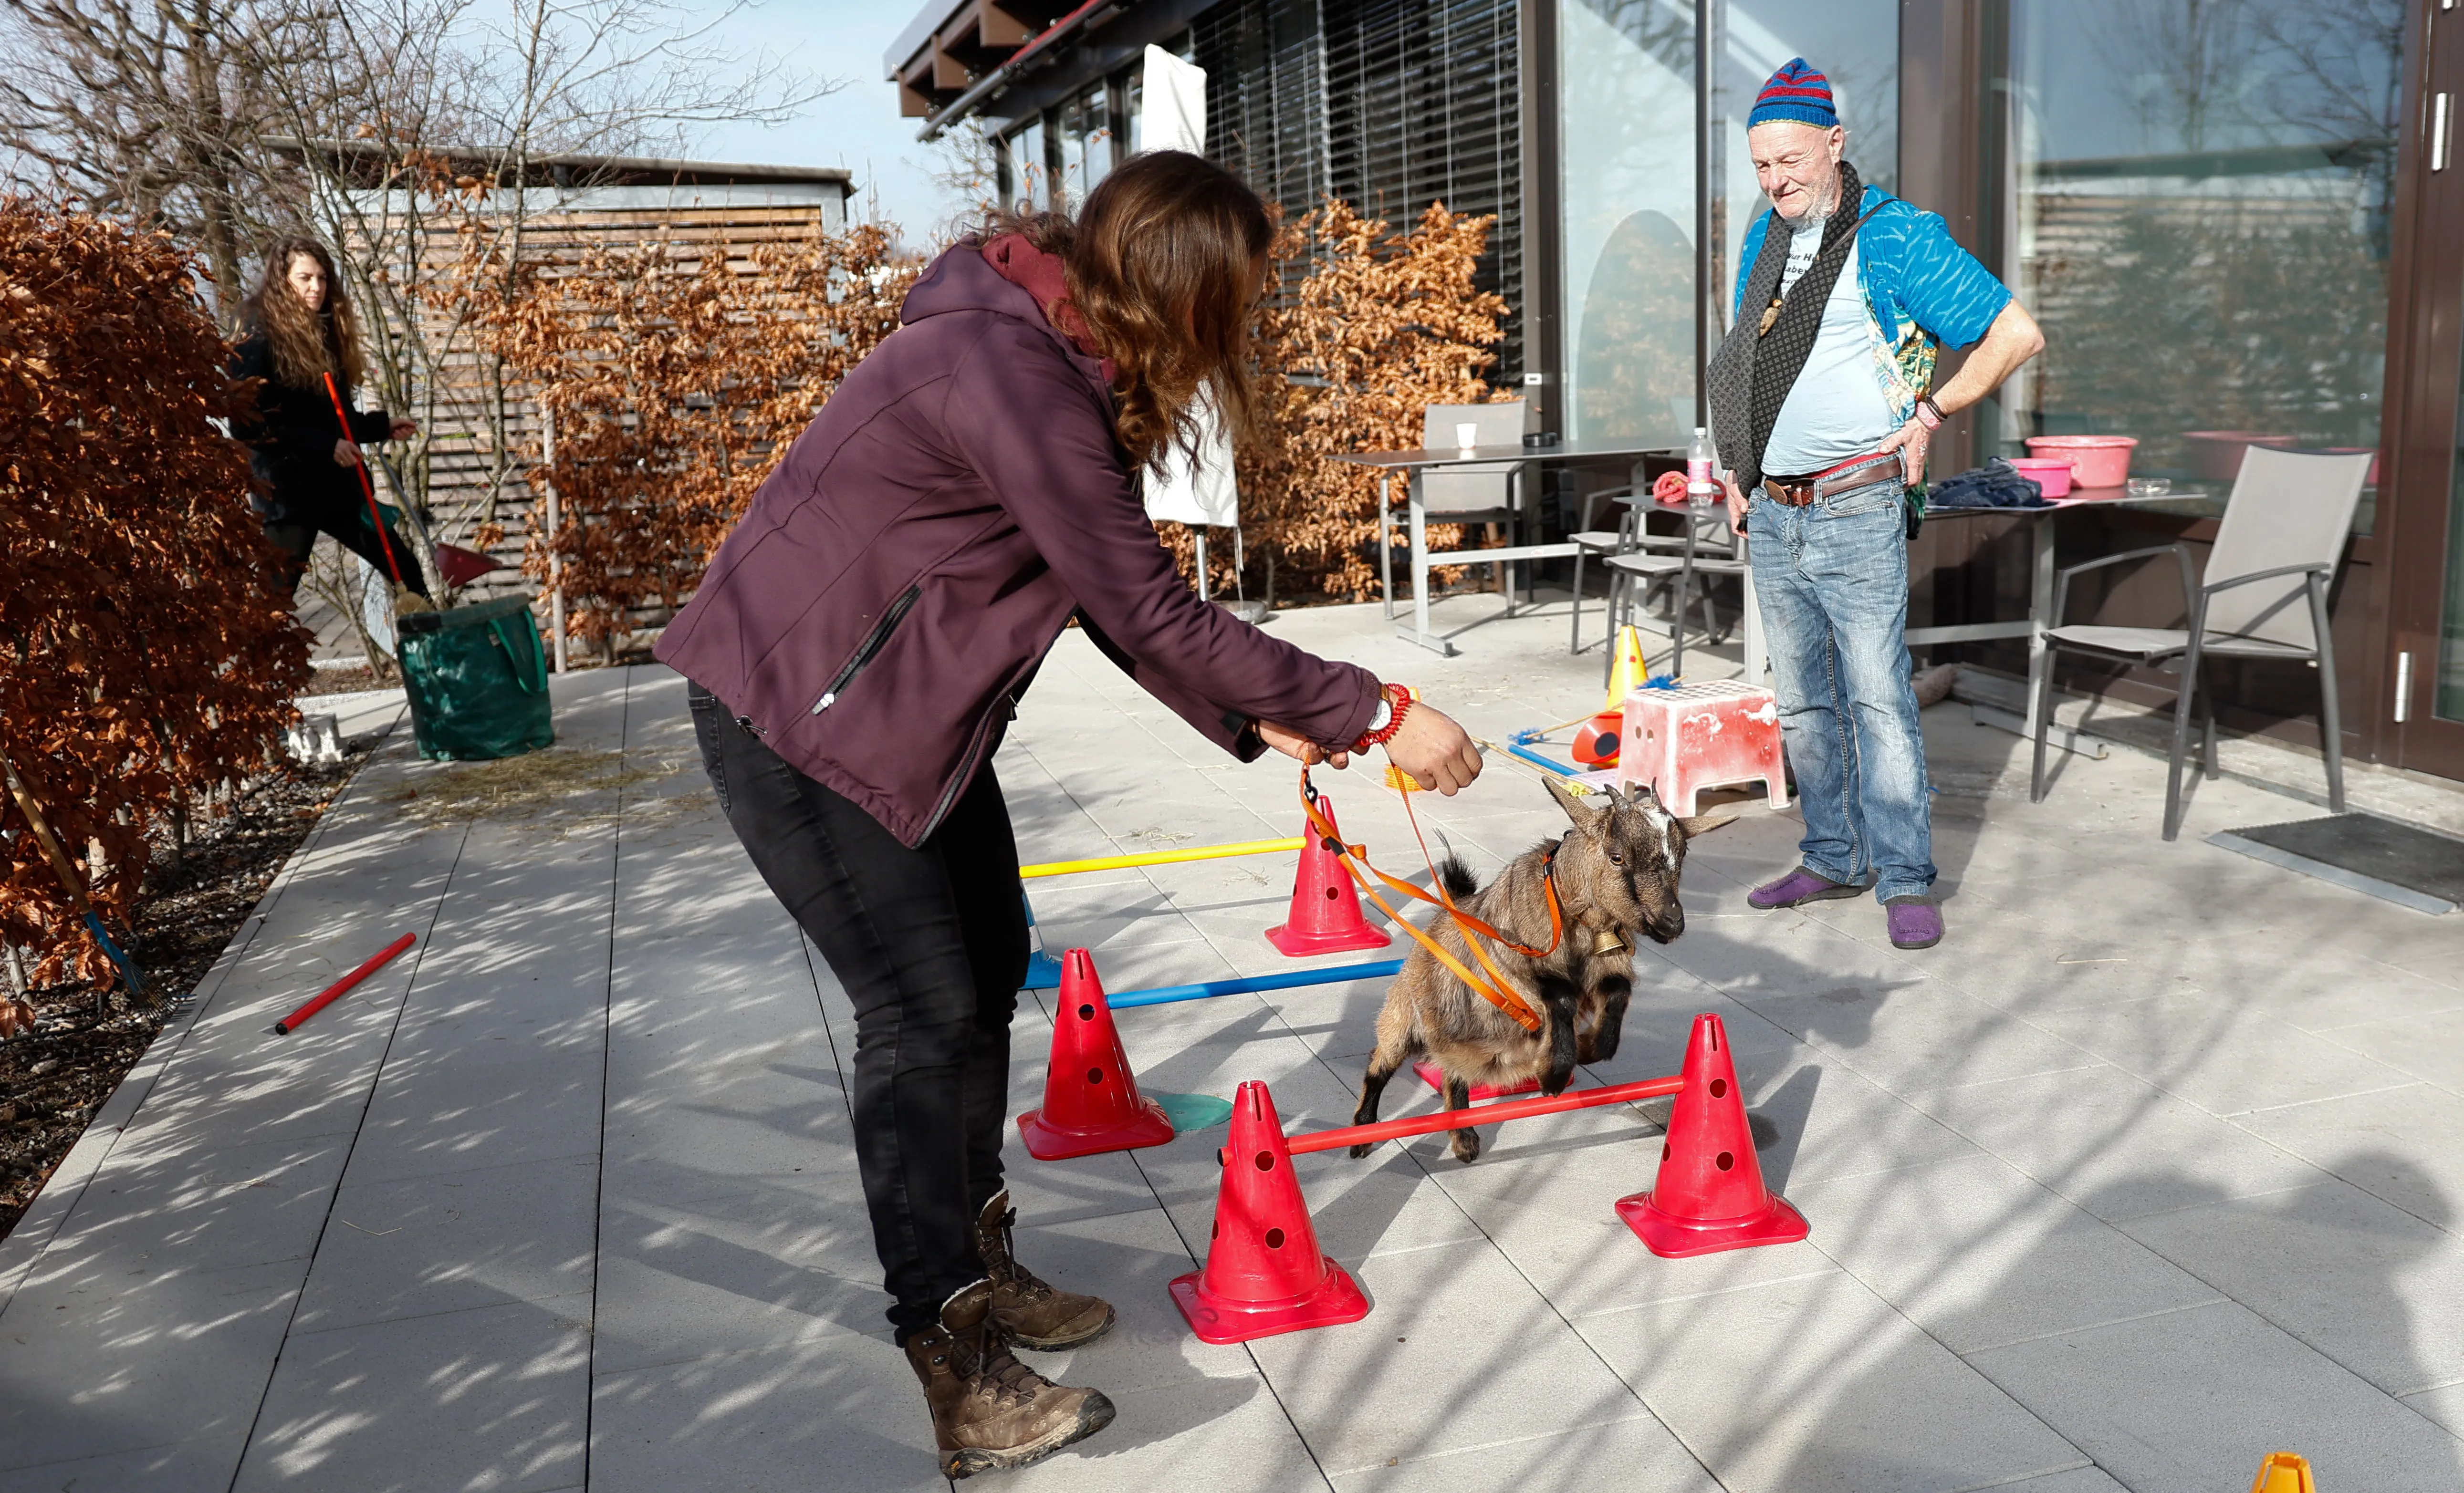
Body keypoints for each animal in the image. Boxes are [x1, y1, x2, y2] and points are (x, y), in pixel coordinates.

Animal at [1350, 778, 1734, 1177]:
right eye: (1617, 857)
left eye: (1683, 854)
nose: (1672, 923)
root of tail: (1446, 915)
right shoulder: (1516, 981)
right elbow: (1560, 997)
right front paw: (1553, 1075)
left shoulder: (1607, 969)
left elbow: (1617, 993)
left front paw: (1589, 1048)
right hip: (1405, 1018)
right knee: (1380, 1064)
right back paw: (1363, 1134)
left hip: (1456, 1040)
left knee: (1452, 1073)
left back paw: (1464, 1139)